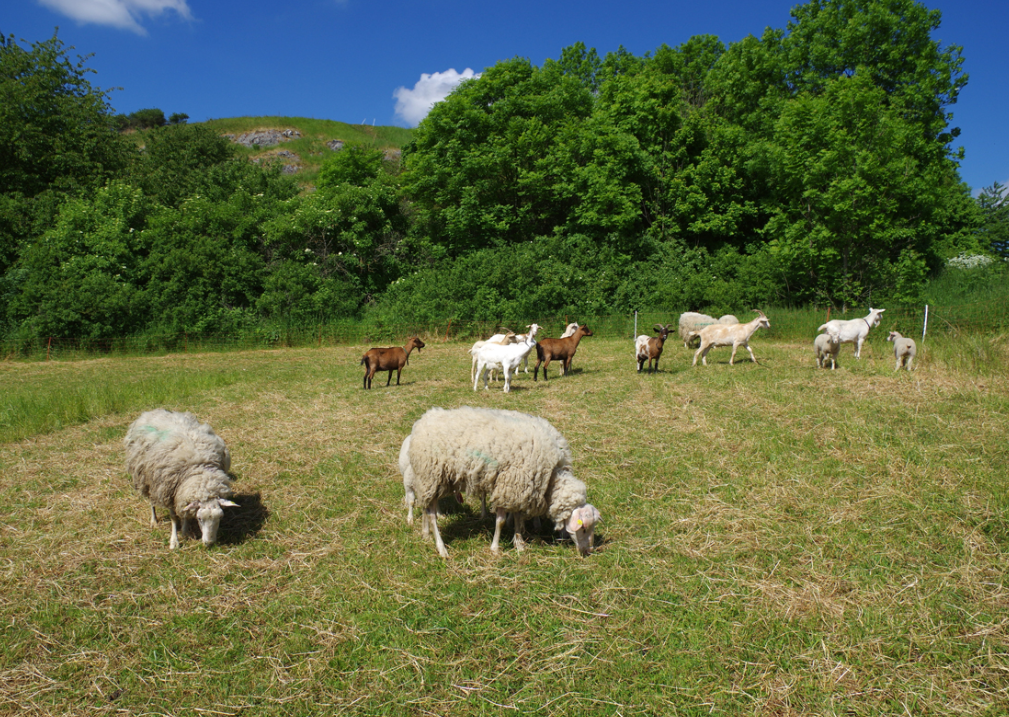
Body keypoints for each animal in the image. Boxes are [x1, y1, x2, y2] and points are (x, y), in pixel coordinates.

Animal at [123, 409, 237, 548]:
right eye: (200, 518)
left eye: (220, 517)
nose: (209, 543)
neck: (199, 470)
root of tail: (152, 411)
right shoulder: (168, 491)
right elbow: (174, 517)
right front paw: (174, 541)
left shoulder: (182, 493)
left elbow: (185, 513)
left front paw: (185, 531)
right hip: (146, 478)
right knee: (151, 500)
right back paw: (154, 520)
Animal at [399, 407, 597, 556]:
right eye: (584, 529)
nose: (589, 551)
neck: (550, 477)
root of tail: (423, 420)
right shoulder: (508, 486)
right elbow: (501, 521)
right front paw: (495, 548)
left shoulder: (518, 489)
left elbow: (517, 518)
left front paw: (520, 543)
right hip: (430, 476)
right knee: (431, 514)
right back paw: (441, 549)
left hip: (432, 480)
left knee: (426, 509)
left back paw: (426, 534)